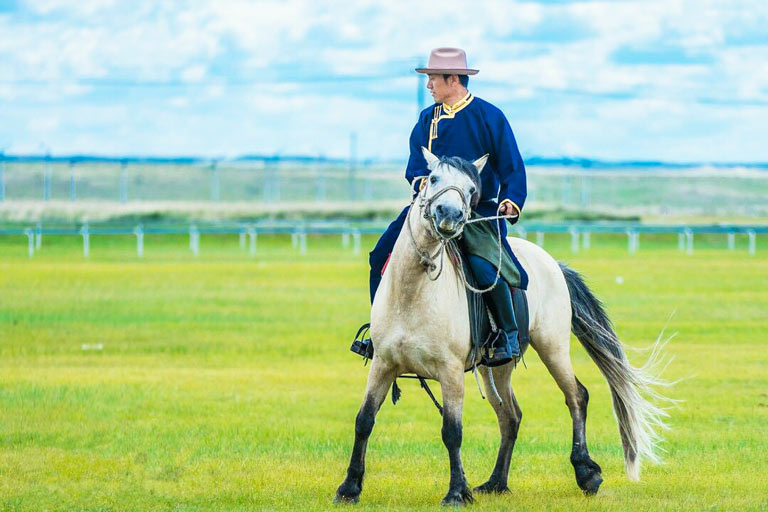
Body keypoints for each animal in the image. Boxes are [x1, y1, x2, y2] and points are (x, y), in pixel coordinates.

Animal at [332, 149, 668, 508]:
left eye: (471, 189)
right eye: (433, 178)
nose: (449, 214)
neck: (413, 292)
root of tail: (552, 264)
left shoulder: (450, 372)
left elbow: (452, 431)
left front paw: (456, 492)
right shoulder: (383, 364)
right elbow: (364, 420)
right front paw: (349, 487)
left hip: (553, 347)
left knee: (576, 396)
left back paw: (586, 473)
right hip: (496, 367)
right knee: (510, 415)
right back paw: (496, 482)